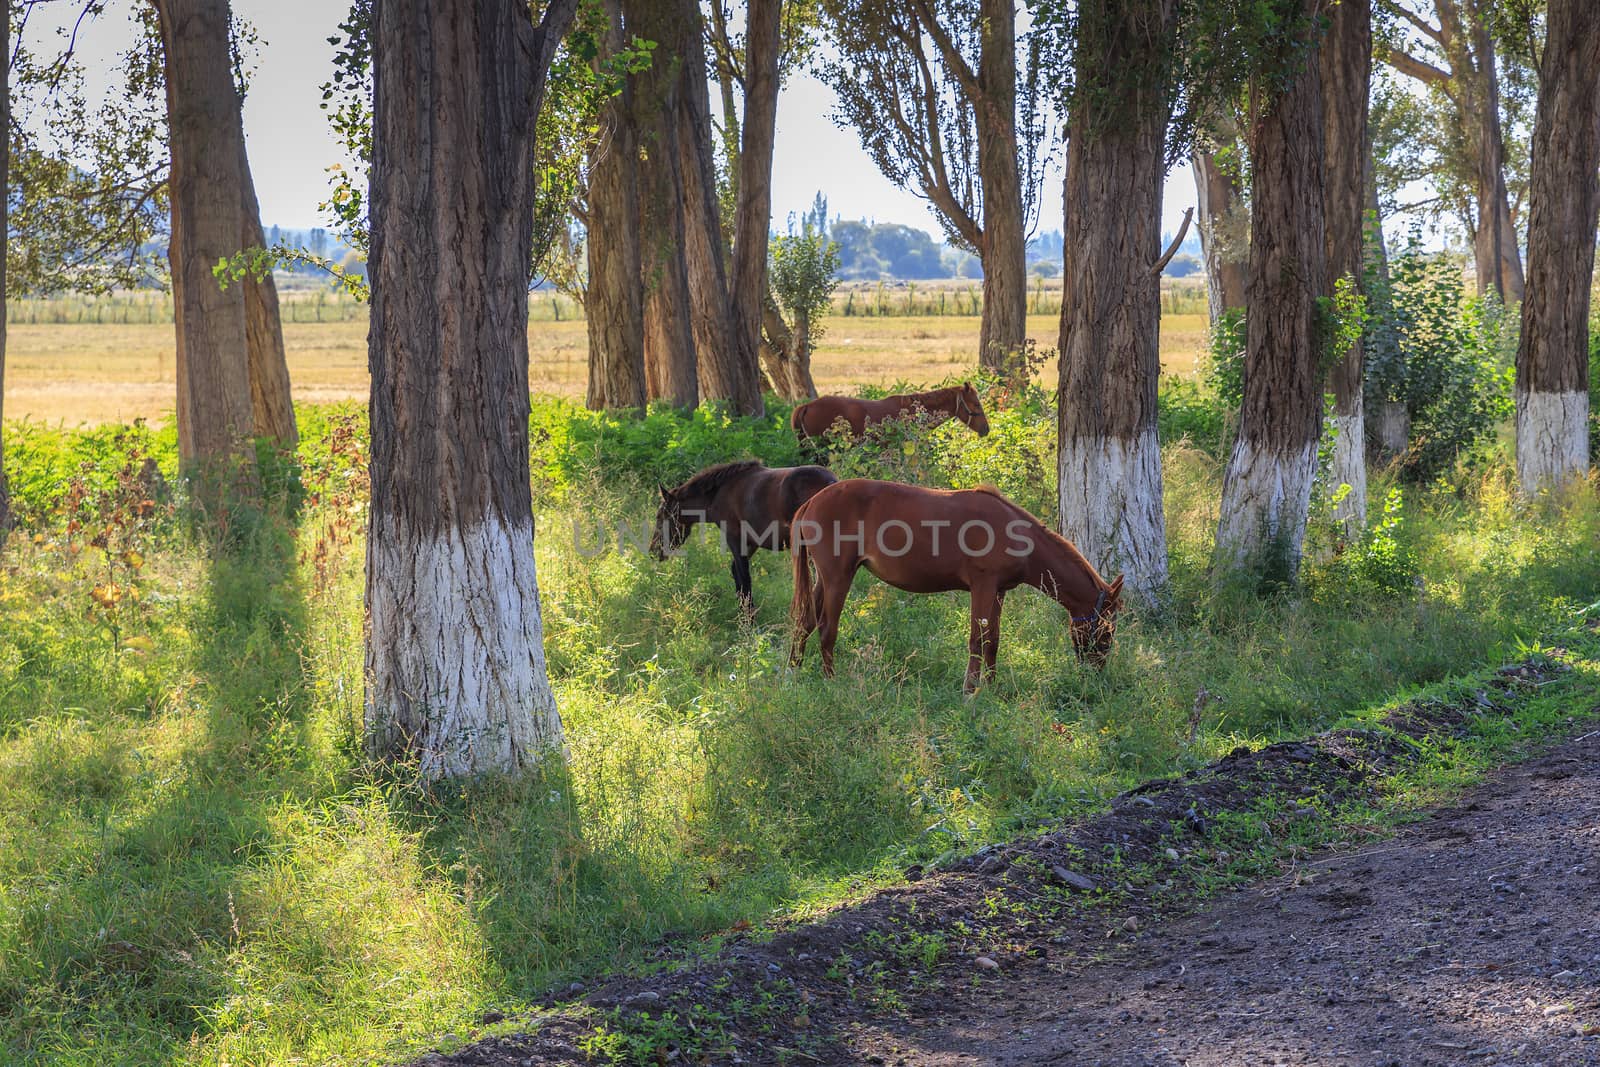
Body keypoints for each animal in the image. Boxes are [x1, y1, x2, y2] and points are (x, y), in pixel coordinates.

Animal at [646, 460, 838, 617]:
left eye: (660, 516)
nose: (653, 550)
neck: (717, 495)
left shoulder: (734, 538)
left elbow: (744, 577)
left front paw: (748, 619)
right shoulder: (751, 542)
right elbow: (737, 573)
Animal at [787, 483, 1126, 694]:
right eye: (1106, 632)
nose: (1096, 674)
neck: (1016, 532)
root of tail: (811, 502)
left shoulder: (999, 591)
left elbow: (993, 641)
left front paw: (992, 687)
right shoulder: (982, 586)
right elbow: (977, 639)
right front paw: (970, 690)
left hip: (824, 580)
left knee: (804, 623)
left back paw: (794, 672)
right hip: (837, 578)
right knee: (827, 628)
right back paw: (831, 681)